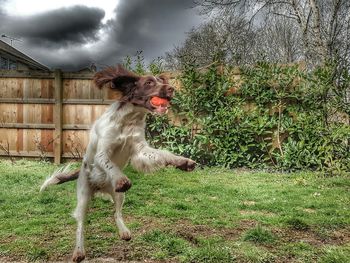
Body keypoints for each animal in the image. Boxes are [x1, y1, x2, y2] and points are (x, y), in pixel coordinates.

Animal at [40, 65, 197, 262]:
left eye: (161, 81)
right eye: (149, 82)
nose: (171, 89)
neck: (129, 119)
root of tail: (100, 187)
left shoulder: (140, 150)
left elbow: (163, 154)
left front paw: (183, 162)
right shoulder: (102, 152)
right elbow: (110, 164)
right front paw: (122, 179)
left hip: (119, 196)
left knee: (117, 213)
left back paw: (124, 231)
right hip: (83, 196)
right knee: (80, 224)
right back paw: (79, 251)